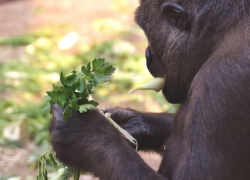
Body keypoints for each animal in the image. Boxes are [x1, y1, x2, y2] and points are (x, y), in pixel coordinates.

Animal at [49, 0, 250, 180]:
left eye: (147, 30)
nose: (147, 55)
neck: (223, 36)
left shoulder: (221, 81)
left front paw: (83, 134)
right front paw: (137, 123)